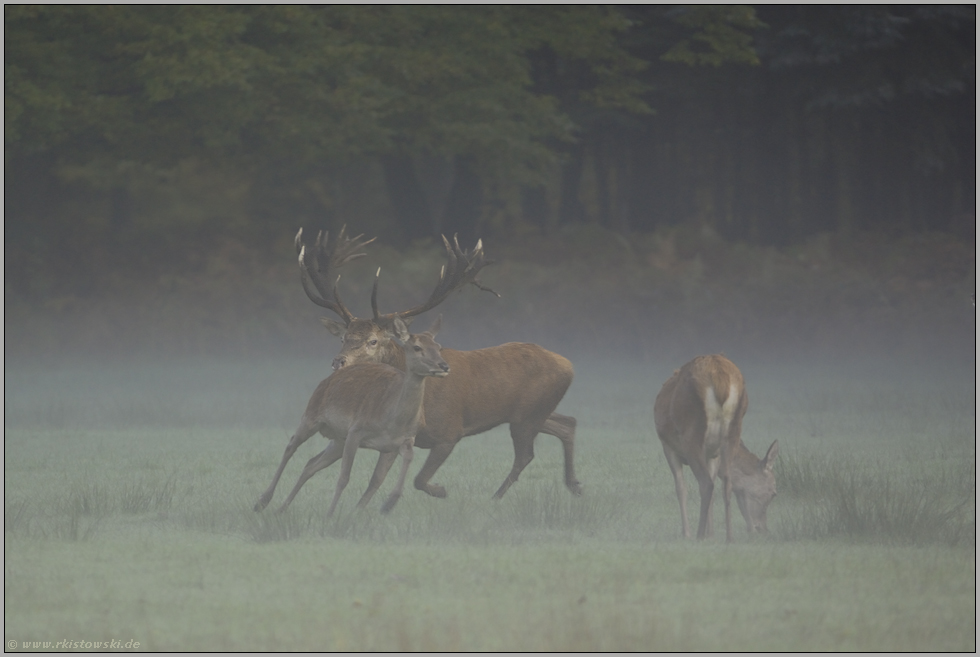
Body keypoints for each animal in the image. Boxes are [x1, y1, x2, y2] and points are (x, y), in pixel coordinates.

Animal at [274, 316, 446, 516]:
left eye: (438, 346)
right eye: (417, 347)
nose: (444, 366)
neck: (393, 421)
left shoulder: (404, 440)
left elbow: (400, 465)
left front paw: (388, 504)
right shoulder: (356, 430)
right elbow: (343, 477)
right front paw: (330, 515)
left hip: (337, 439)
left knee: (311, 463)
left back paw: (280, 509)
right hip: (311, 415)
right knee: (290, 446)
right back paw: (262, 502)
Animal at [656, 356, 776, 540]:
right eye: (773, 493)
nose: (763, 528)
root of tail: (721, 379)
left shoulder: (667, 445)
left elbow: (681, 488)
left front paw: (688, 534)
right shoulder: (713, 454)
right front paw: (710, 533)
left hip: (692, 433)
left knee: (706, 483)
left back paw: (698, 535)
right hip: (732, 431)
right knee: (726, 482)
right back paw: (729, 537)